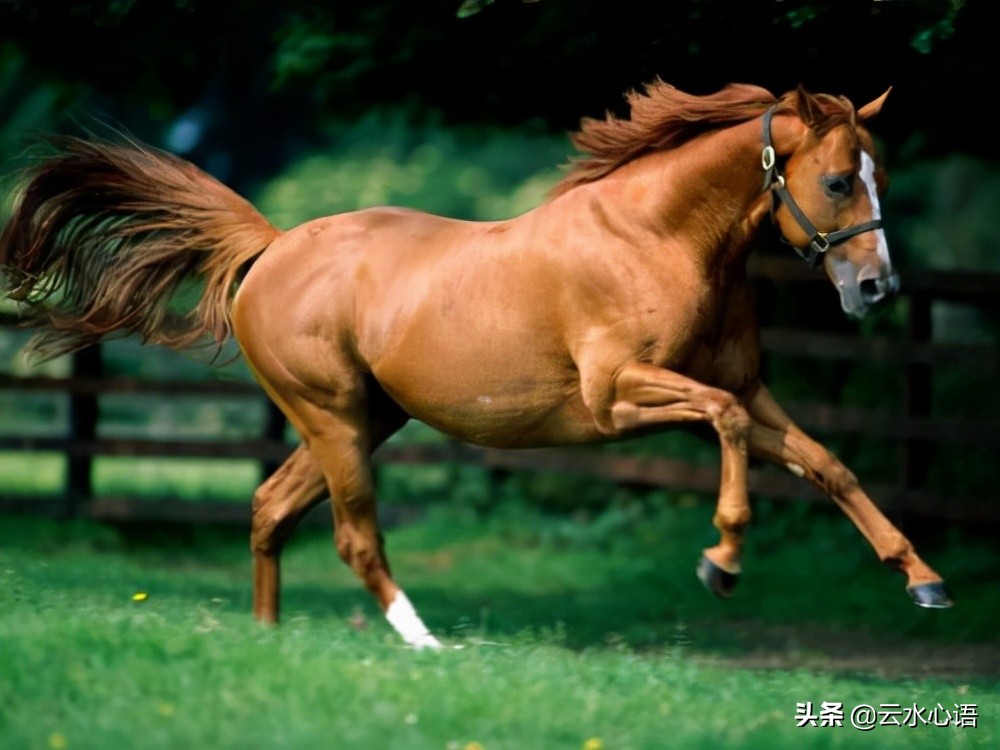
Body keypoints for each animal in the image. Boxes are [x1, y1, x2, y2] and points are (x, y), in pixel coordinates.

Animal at [0, 81, 952, 648]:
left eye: (882, 177)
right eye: (838, 181)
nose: (877, 287)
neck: (658, 237)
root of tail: (271, 248)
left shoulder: (748, 387)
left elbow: (828, 464)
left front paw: (924, 582)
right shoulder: (621, 399)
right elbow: (723, 428)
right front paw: (721, 561)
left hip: (365, 419)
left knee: (271, 507)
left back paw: (269, 638)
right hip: (334, 419)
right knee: (352, 534)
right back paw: (424, 642)